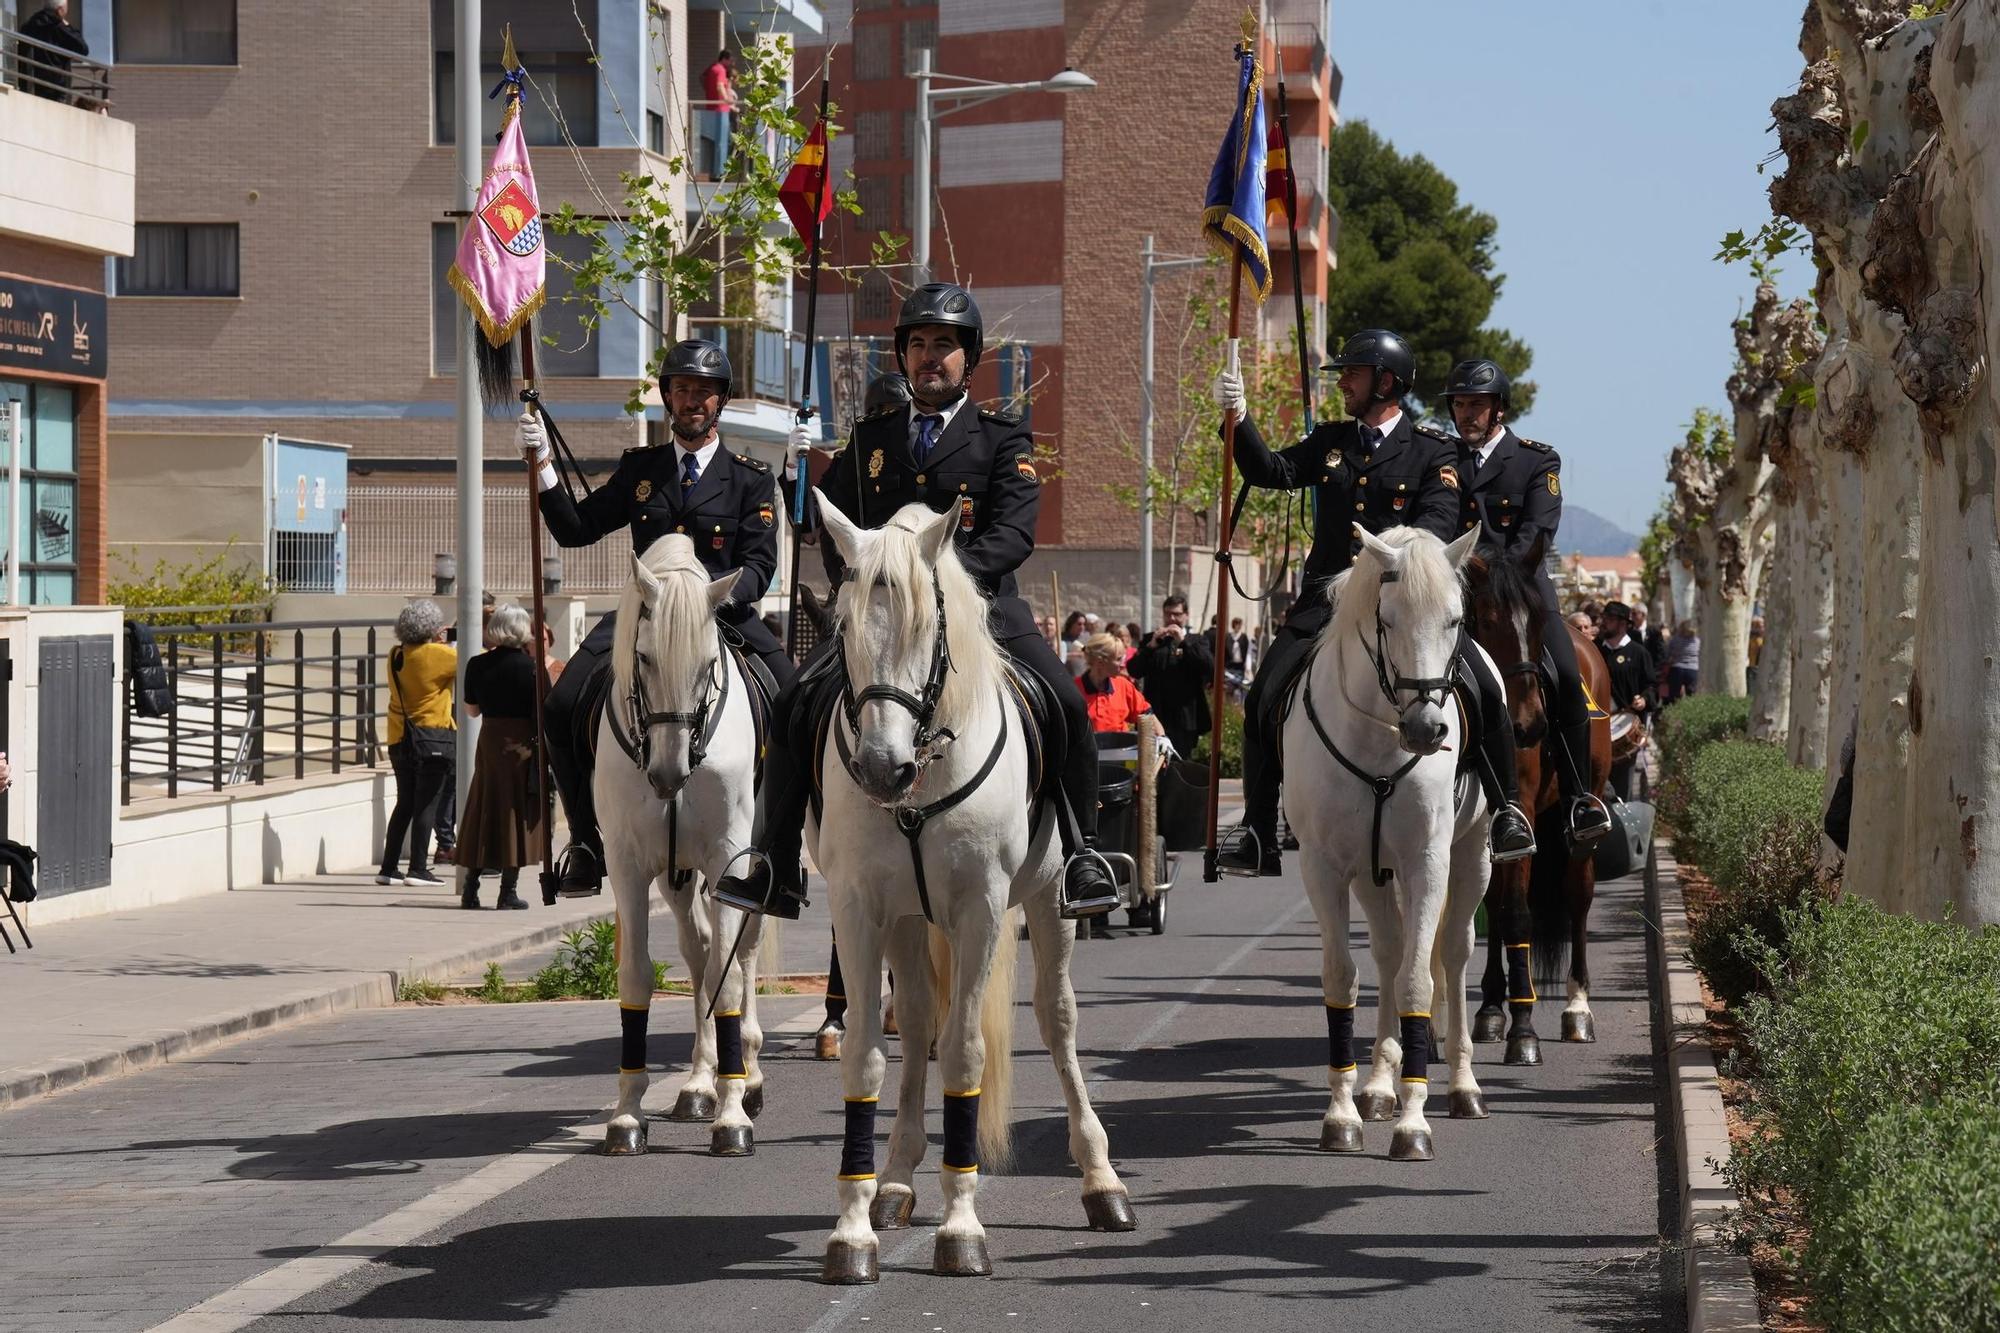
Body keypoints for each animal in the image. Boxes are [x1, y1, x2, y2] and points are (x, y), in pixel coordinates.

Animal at [596, 536, 768, 1160]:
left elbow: (729, 971)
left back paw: (747, 1073)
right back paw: (698, 1083)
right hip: (677, 877)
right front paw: (626, 1114)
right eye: (644, 658)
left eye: (707, 664)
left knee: (739, 954)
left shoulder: (729, 862)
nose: (668, 775)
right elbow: (637, 977)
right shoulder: (627, 866)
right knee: (698, 955)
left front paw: (733, 1114)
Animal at [804, 492, 1136, 1280]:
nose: (881, 769)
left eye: (930, 630)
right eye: (843, 630)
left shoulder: (981, 908)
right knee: (920, 1018)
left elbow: (966, 1052)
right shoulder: (860, 910)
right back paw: (895, 1181)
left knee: (1056, 1019)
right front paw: (853, 1228)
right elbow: (868, 1051)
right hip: (909, 920)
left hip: (1046, 905)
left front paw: (961, 1226)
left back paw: (1101, 1180)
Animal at [1288, 524, 1496, 1160]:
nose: (1428, 730)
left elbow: (1417, 980)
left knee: (1450, 952)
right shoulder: (1326, 867)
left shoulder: (1426, 862)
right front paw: (1342, 1114)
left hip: (1472, 856)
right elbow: (1343, 977)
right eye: (1387, 618)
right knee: (1388, 949)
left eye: (1456, 619)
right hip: (1371, 873)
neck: (1380, 737)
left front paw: (1414, 1122)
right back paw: (1379, 1086)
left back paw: (1462, 1085)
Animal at [1464, 548, 1616, 1056]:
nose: (1528, 725)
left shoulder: (1523, 812)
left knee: (1578, 894)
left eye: (1536, 626)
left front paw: (1524, 1029)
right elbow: (1492, 906)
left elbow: (1518, 912)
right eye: (1487, 622)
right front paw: (1495, 1011)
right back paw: (1493, 1004)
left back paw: (1578, 1008)